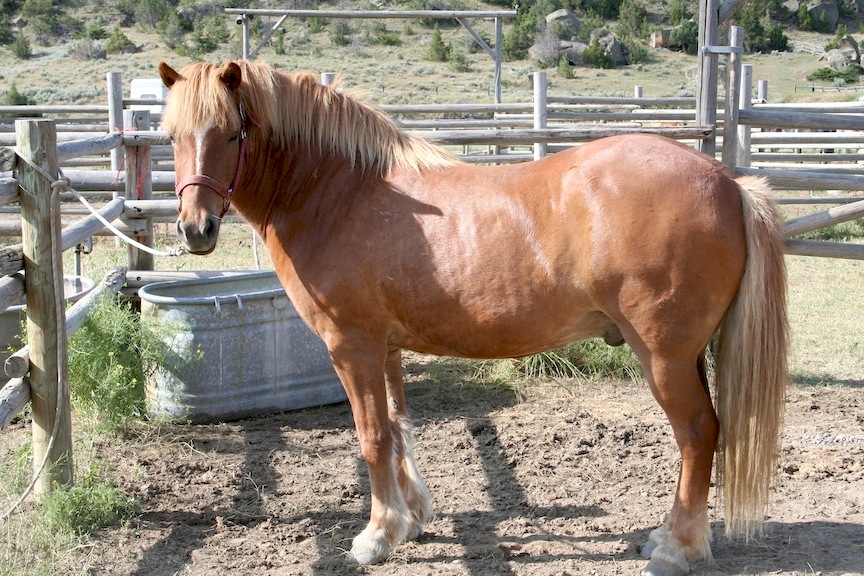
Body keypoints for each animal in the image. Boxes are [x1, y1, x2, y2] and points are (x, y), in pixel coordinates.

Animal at [157, 60, 788, 576]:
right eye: (171, 136)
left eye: (232, 131)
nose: (195, 229)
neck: (337, 192)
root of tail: (727, 181)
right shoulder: (386, 347)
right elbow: (397, 428)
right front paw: (410, 518)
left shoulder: (351, 345)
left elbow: (371, 436)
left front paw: (375, 536)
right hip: (689, 355)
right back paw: (668, 534)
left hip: (664, 356)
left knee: (698, 433)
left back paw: (676, 549)